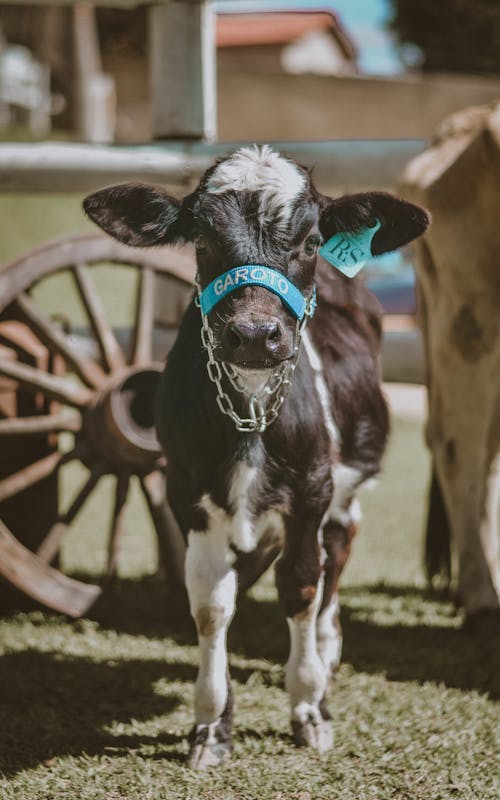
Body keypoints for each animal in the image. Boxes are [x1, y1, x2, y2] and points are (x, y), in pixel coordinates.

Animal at [83, 145, 430, 768]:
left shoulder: (313, 488)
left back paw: (327, 648)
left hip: (345, 484)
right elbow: (211, 602)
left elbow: (301, 584)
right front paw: (210, 724)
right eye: (200, 239)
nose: (253, 334)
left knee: (337, 549)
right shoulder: (186, 491)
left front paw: (309, 707)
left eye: (312, 241)